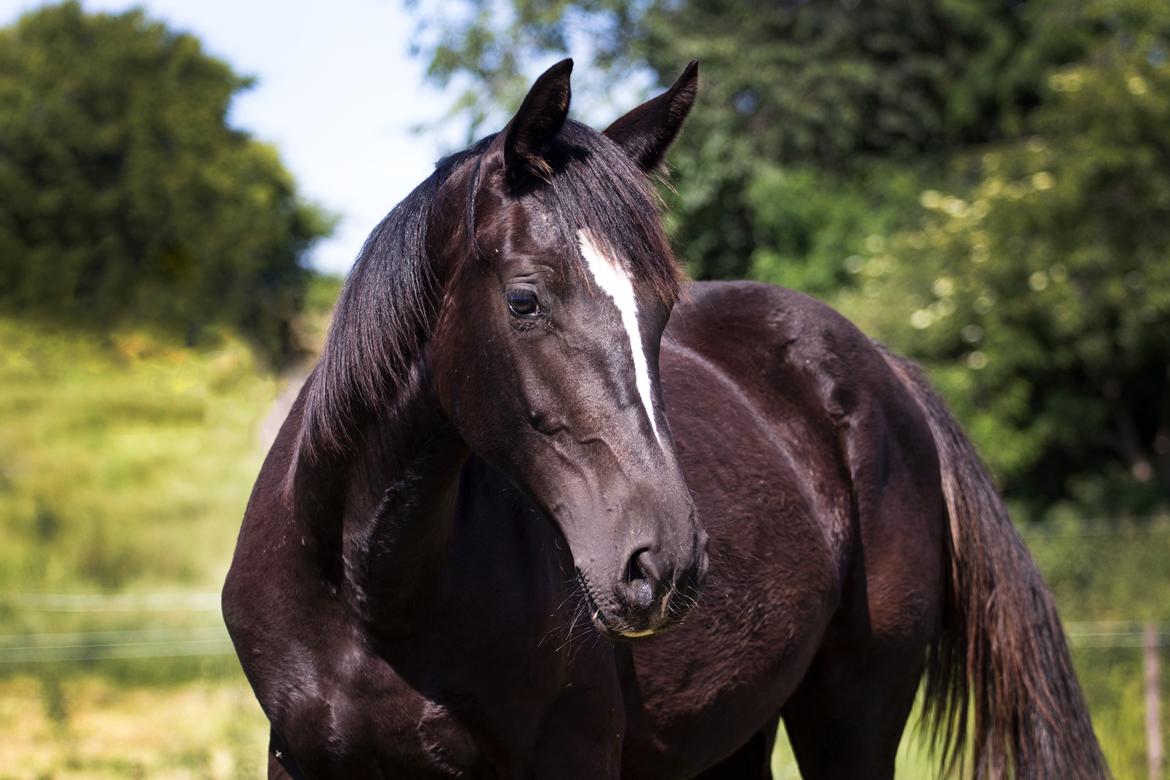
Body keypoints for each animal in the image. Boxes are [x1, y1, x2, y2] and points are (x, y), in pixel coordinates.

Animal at [223, 57, 1109, 776]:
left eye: (662, 309)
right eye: (524, 300)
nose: (664, 562)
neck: (367, 590)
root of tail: (883, 368)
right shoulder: (294, 761)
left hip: (852, 712)